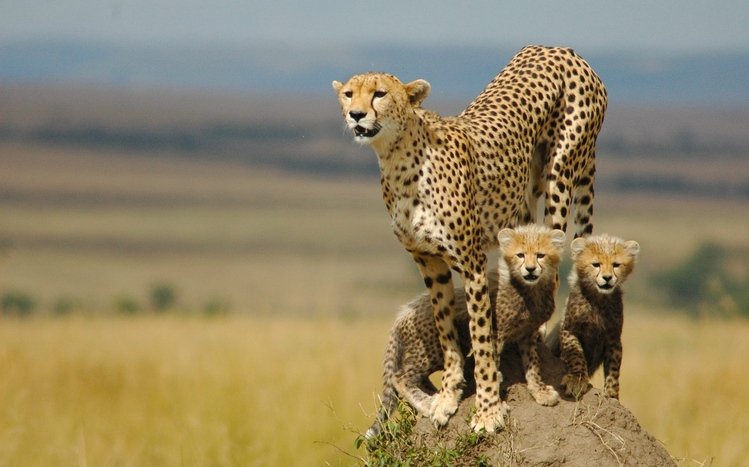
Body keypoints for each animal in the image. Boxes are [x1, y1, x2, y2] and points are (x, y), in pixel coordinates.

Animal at [365, 225, 565, 439]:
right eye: (520, 255)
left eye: (540, 255)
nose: (530, 269)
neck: (529, 289)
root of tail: (404, 311)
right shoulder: (496, 333)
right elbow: (490, 365)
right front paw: (495, 405)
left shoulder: (528, 334)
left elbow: (532, 365)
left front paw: (540, 392)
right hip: (431, 350)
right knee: (400, 377)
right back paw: (429, 404)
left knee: (420, 378)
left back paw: (442, 395)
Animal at [545, 234, 640, 400]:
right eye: (596, 264)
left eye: (616, 265)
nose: (607, 278)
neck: (599, 298)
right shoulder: (569, 330)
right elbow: (576, 355)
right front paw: (577, 380)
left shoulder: (613, 338)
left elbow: (614, 367)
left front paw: (611, 393)